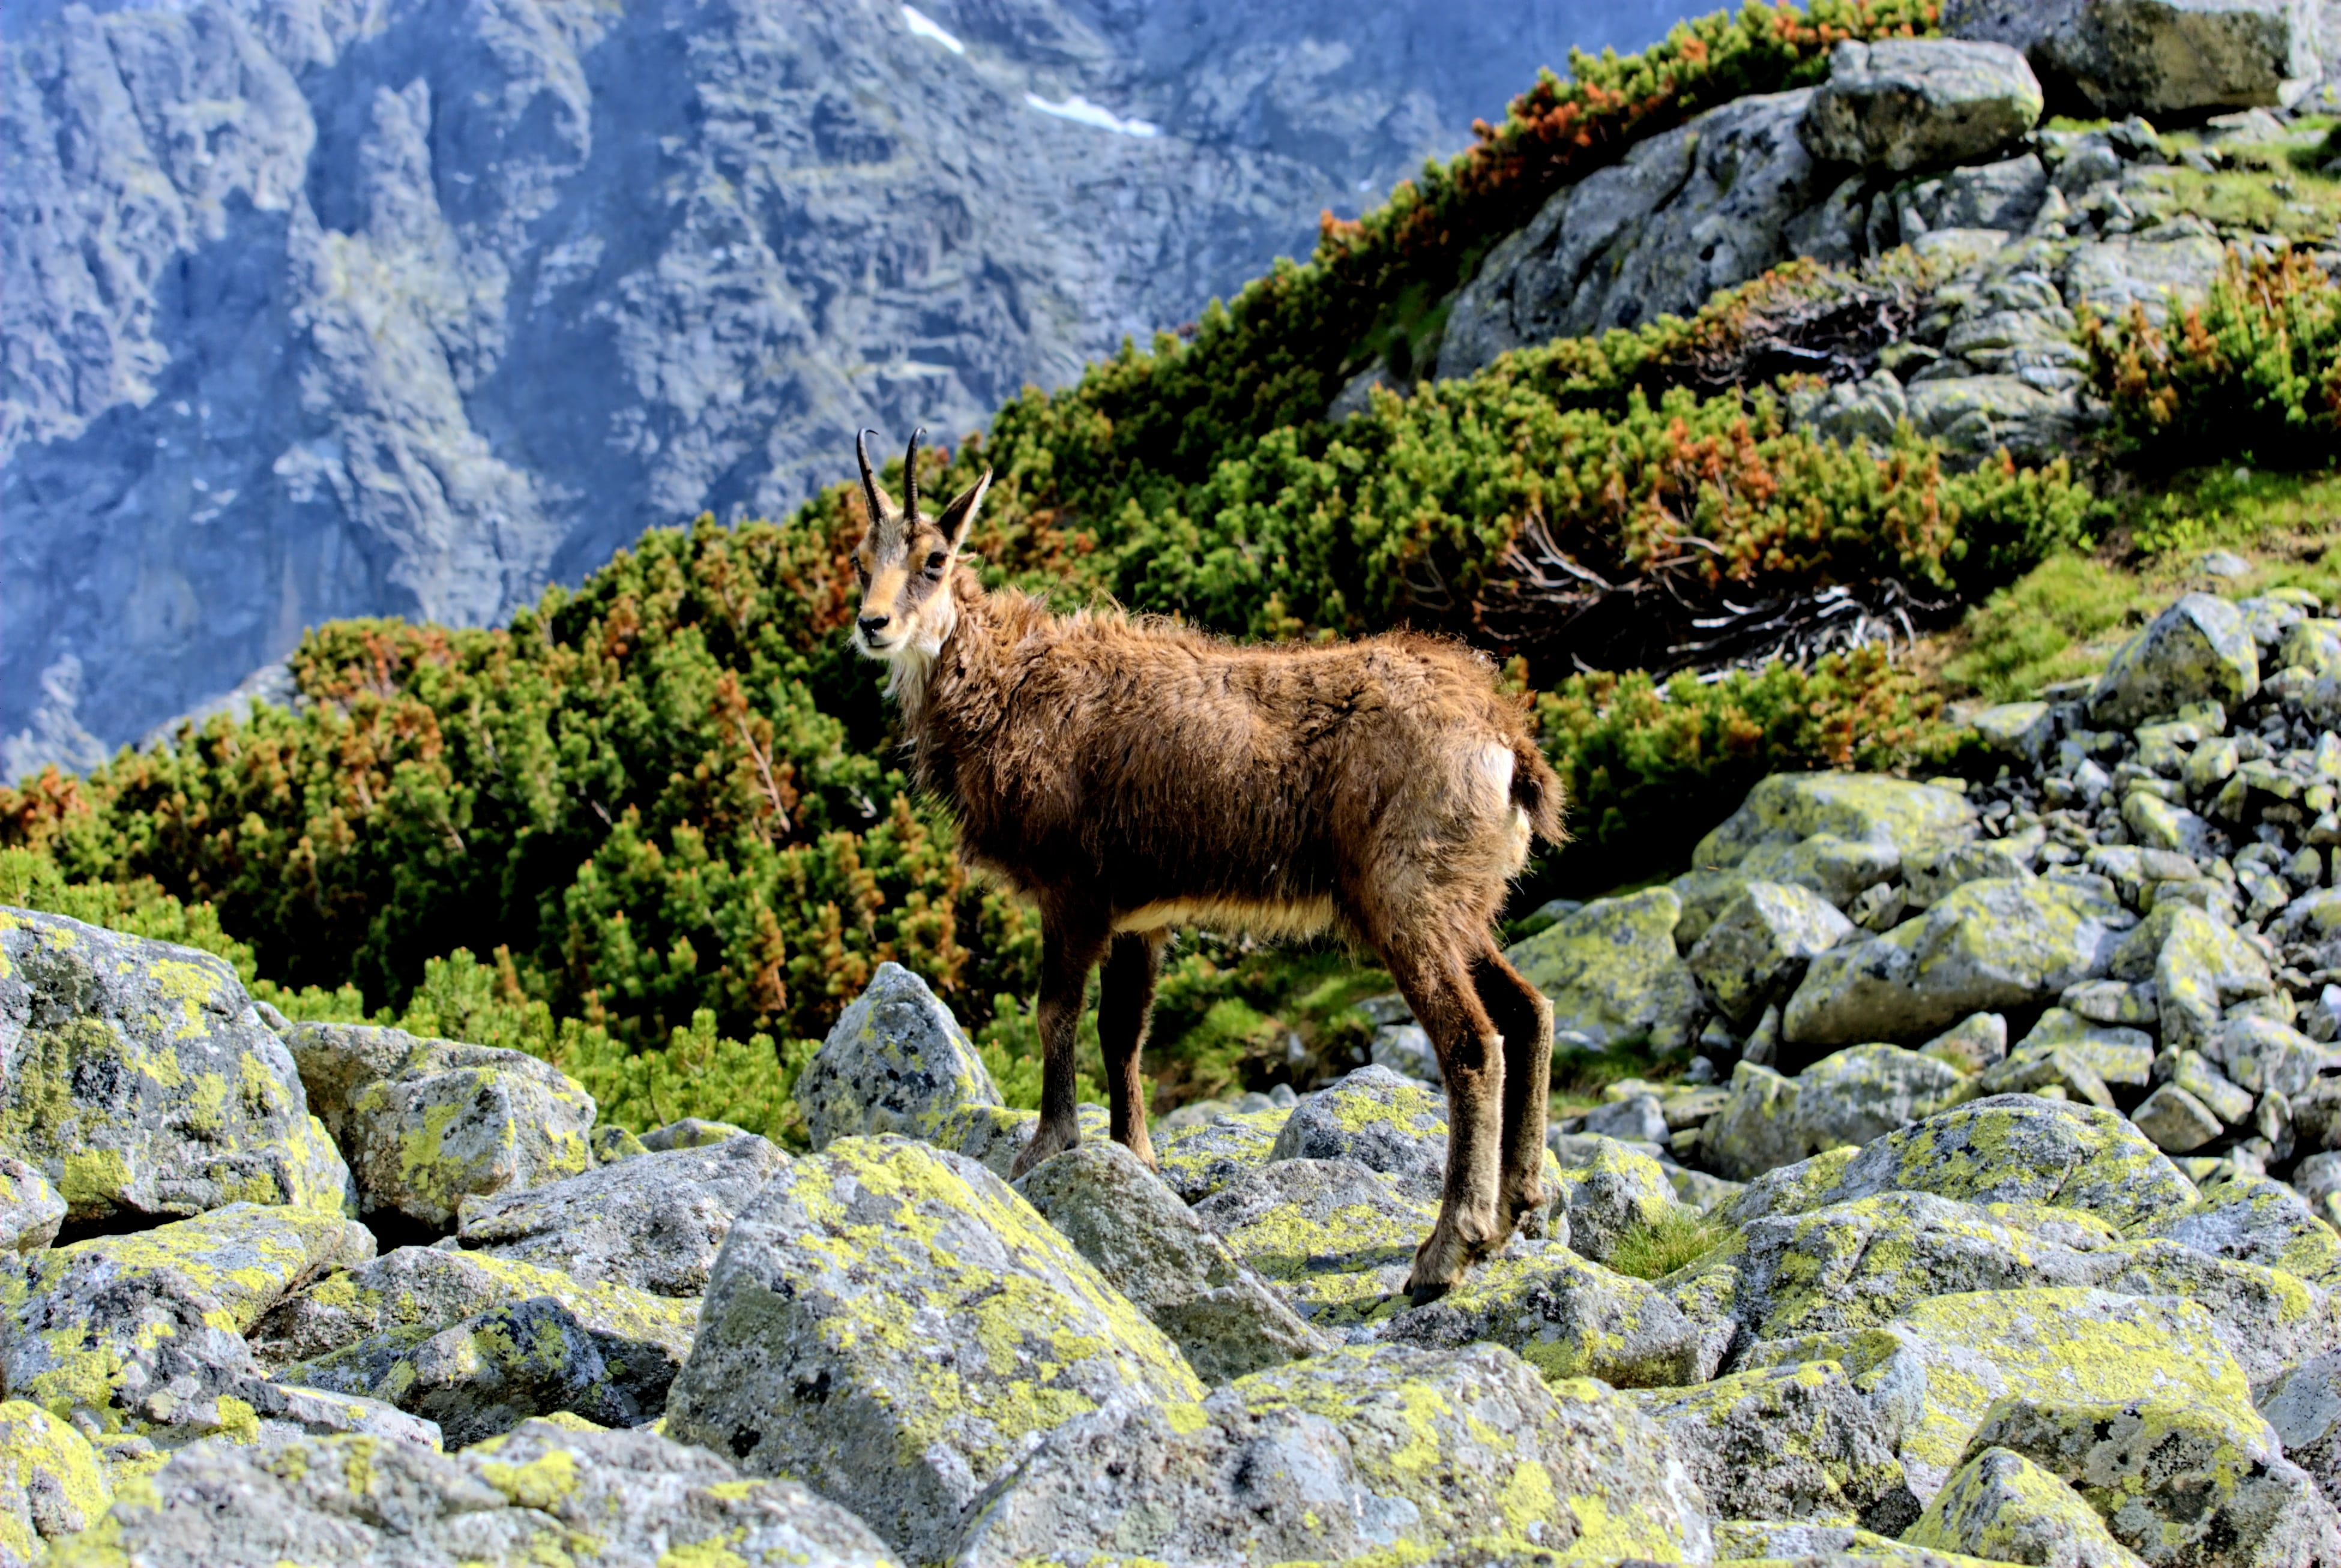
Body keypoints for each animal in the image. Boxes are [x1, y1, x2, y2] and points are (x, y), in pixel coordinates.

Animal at [845, 429, 1567, 1300]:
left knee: (1471, 1043)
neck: (1007, 688)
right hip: (1458, 901)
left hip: (1407, 899)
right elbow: (1124, 1031)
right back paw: (1519, 1204)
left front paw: (1047, 1147)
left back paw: (1447, 1248)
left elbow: (1057, 1014)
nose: (873, 624)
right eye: (861, 558)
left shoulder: (1071, 891)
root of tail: (1508, 742)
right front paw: (1137, 1157)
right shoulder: (1138, 915)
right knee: (1529, 1010)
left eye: (935, 558)